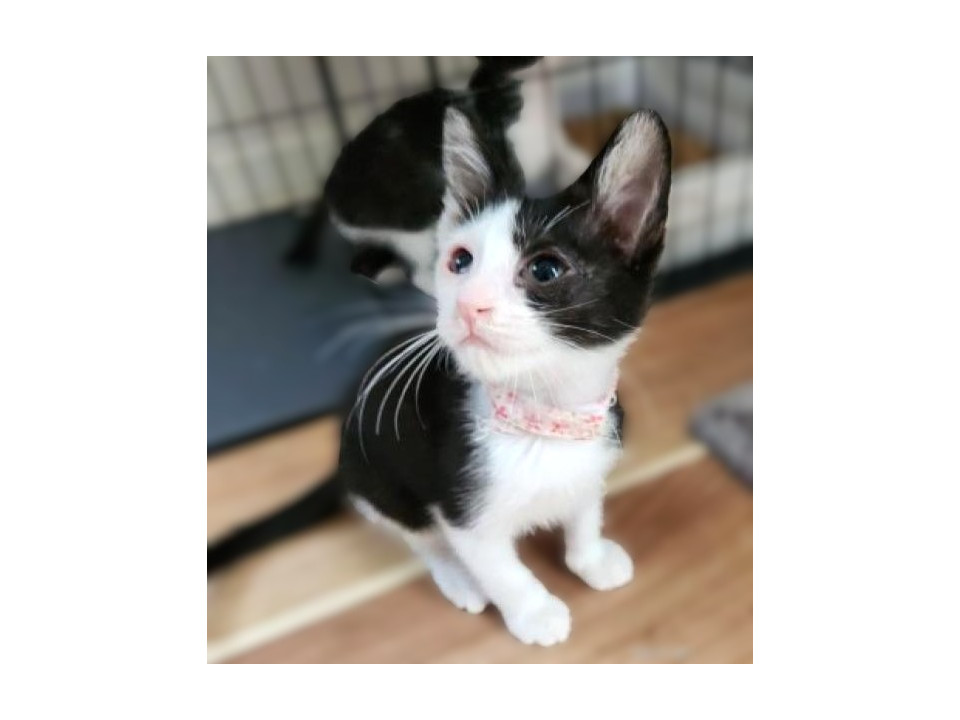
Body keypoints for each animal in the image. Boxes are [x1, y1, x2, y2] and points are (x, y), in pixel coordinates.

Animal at [210, 107, 672, 646]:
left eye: (545, 269)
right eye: (460, 261)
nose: (469, 305)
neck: (540, 414)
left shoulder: (593, 460)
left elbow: (584, 512)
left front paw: (591, 559)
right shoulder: (463, 513)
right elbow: (502, 569)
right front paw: (535, 613)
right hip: (378, 483)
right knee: (422, 538)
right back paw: (458, 580)